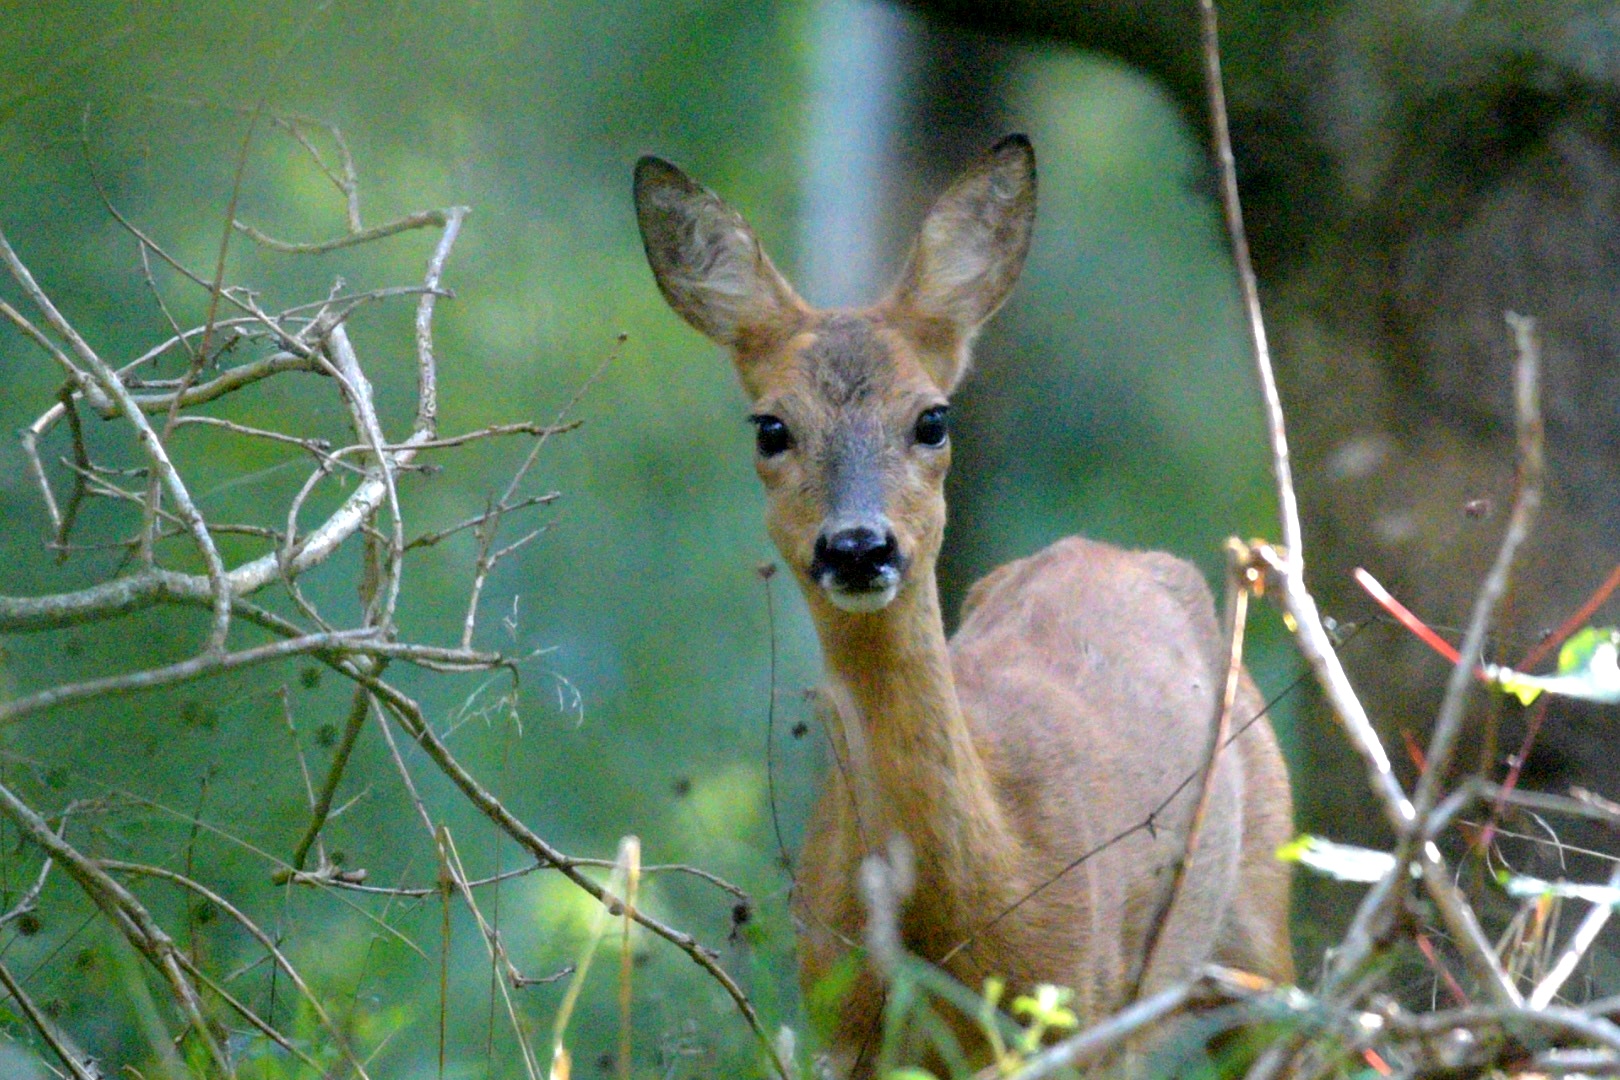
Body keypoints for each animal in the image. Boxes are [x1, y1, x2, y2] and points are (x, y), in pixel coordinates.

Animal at [631, 132, 1289, 1075]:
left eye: (932, 418)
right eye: (770, 427)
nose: (858, 547)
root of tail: (1113, 552)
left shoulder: (1074, 1008)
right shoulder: (838, 1029)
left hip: (1259, 917)